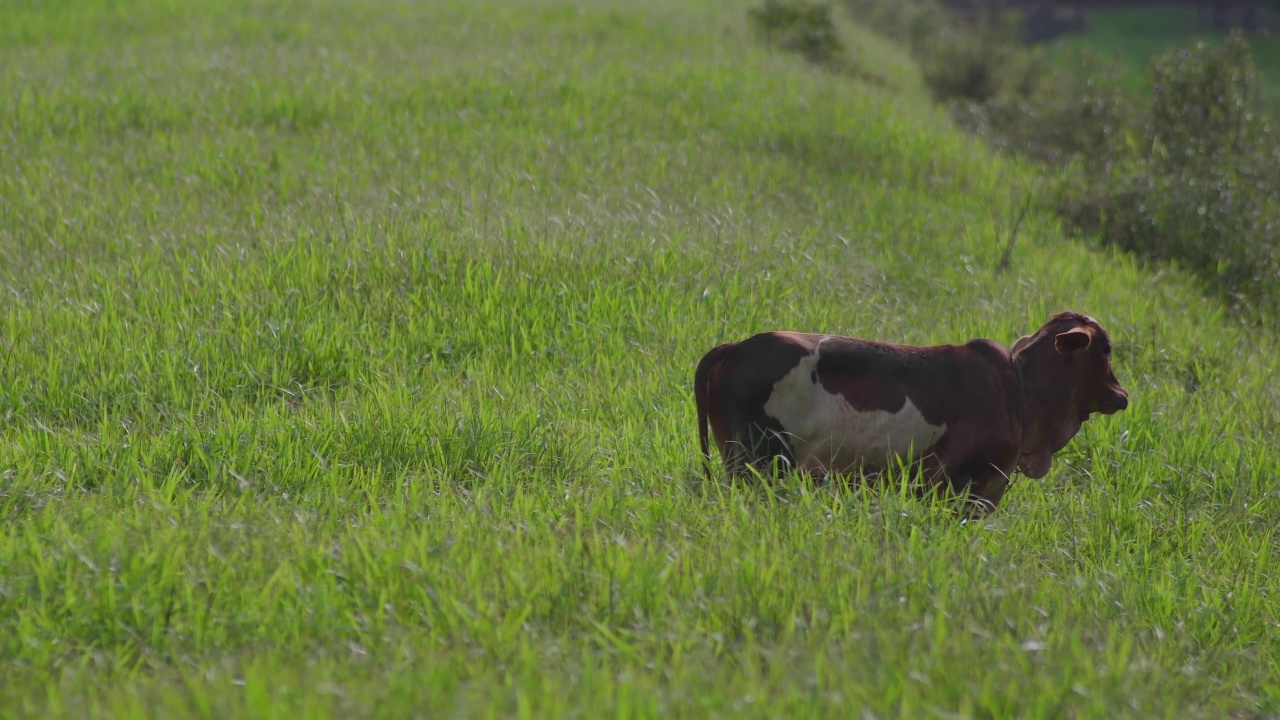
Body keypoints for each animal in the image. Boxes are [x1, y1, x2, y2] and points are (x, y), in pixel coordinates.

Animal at [696, 308, 1126, 515]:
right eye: (1106, 348)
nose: (1122, 395)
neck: (1020, 393)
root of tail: (734, 347)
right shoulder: (961, 484)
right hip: (757, 462)